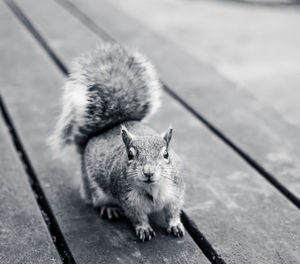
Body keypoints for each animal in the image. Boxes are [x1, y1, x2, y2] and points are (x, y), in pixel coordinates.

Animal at [49, 43, 185, 241]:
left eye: (166, 154)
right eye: (130, 155)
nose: (148, 172)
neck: (152, 188)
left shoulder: (175, 192)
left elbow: (173, 211)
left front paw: (175, 224)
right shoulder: (128, 200)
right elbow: (137, 217)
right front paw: (143, 228)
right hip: (94, 188)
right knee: (98, 201)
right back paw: (110, 208)